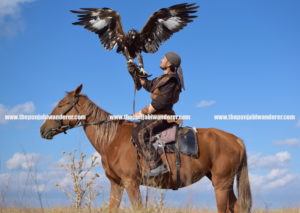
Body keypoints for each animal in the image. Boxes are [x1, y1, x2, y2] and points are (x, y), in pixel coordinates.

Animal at [39, 84, 251, 212]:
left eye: (62, 104)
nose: (43, 129)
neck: (113, 140)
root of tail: (236, 140)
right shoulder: (117, 184)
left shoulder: (131, 183)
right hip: (222, 182)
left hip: (221, 184)